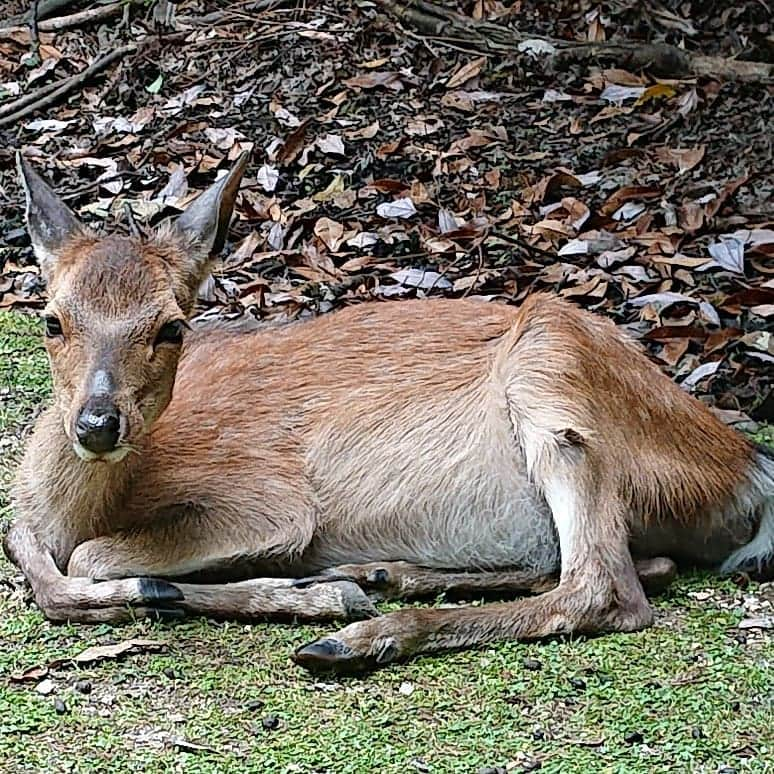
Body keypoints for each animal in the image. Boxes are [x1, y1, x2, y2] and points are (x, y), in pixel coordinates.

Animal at [3, 155, 772, 676]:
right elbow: (32, 555)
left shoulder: (269, 502)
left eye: (171, 328)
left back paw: (354, 633)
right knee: (629, 565)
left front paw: (299, 597)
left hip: (554, 365)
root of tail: (745, 470)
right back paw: (379, 576)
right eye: (52, 320)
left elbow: (90, 559)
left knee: (606, 588)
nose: (97, 424)